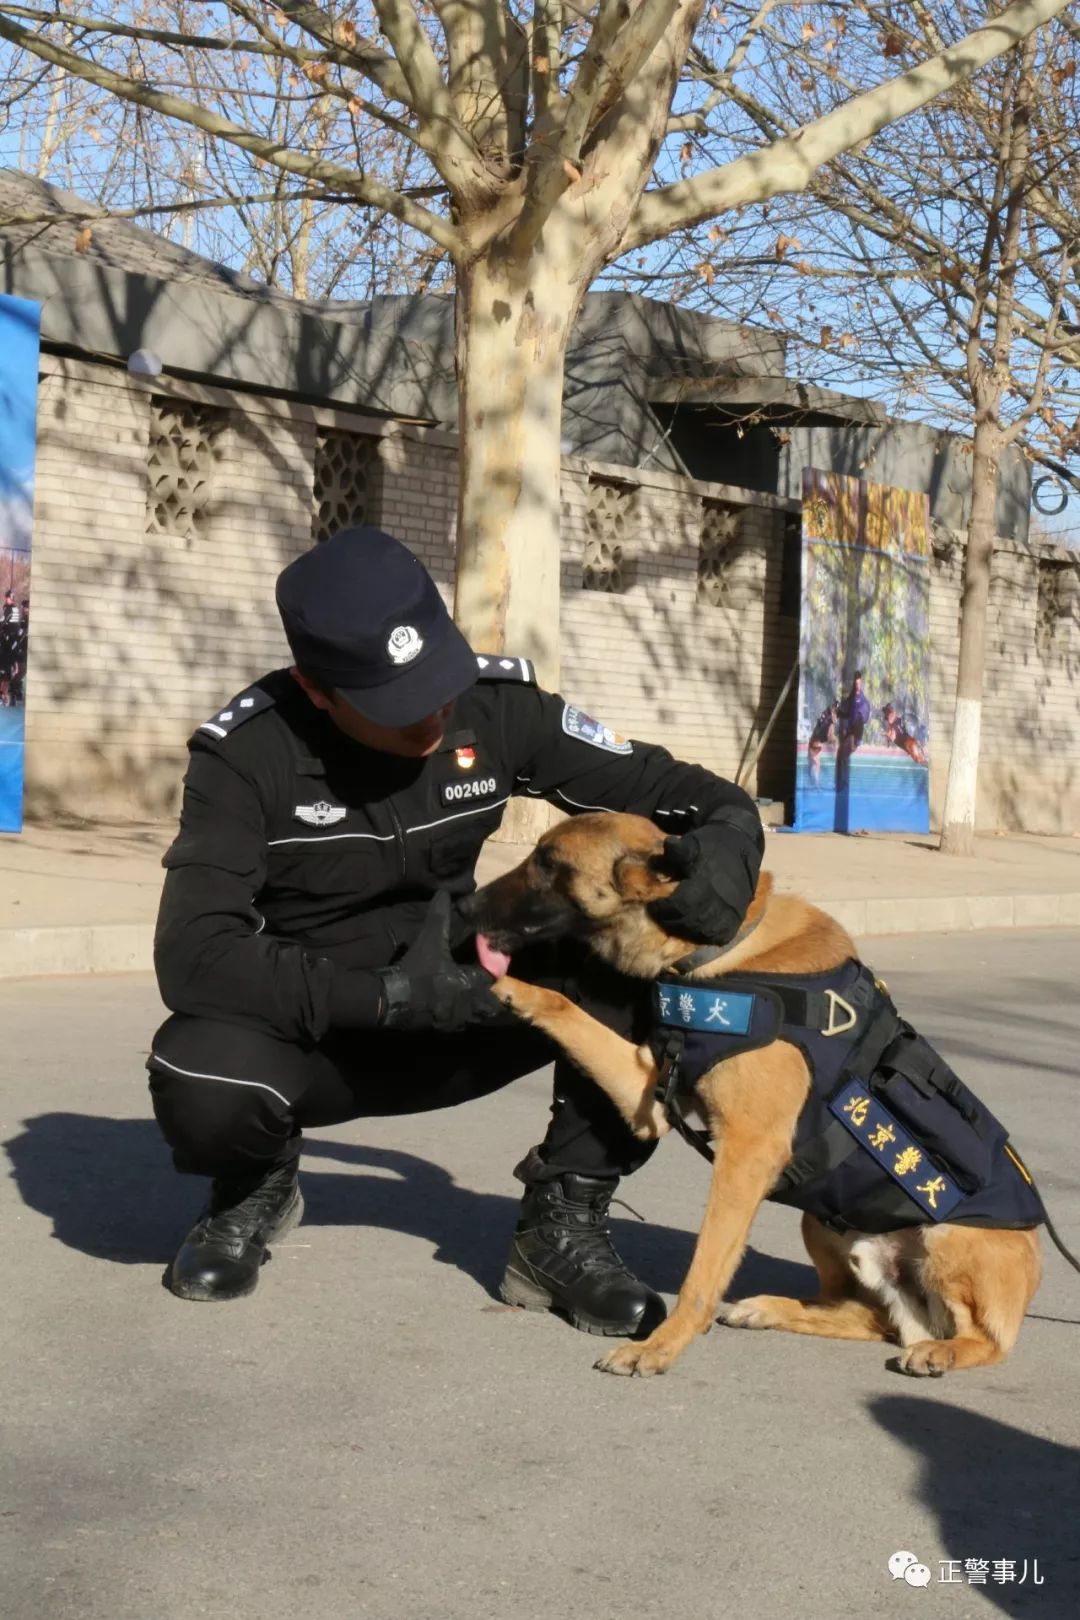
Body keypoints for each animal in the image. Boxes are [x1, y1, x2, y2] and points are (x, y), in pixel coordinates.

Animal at [469, 816, 1042, 1373]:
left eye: (548, 863)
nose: (468, 906)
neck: (720, 950)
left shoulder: (746, 1154)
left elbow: (704, 1269)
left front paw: (661, 1346)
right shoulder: (649, 1097)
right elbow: (567, 1010)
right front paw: (504, 987)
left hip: (944, 1239)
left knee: (986, 1340)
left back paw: (943, 1352)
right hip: (823, 1225)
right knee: (865, 1315)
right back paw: (771, 1308)